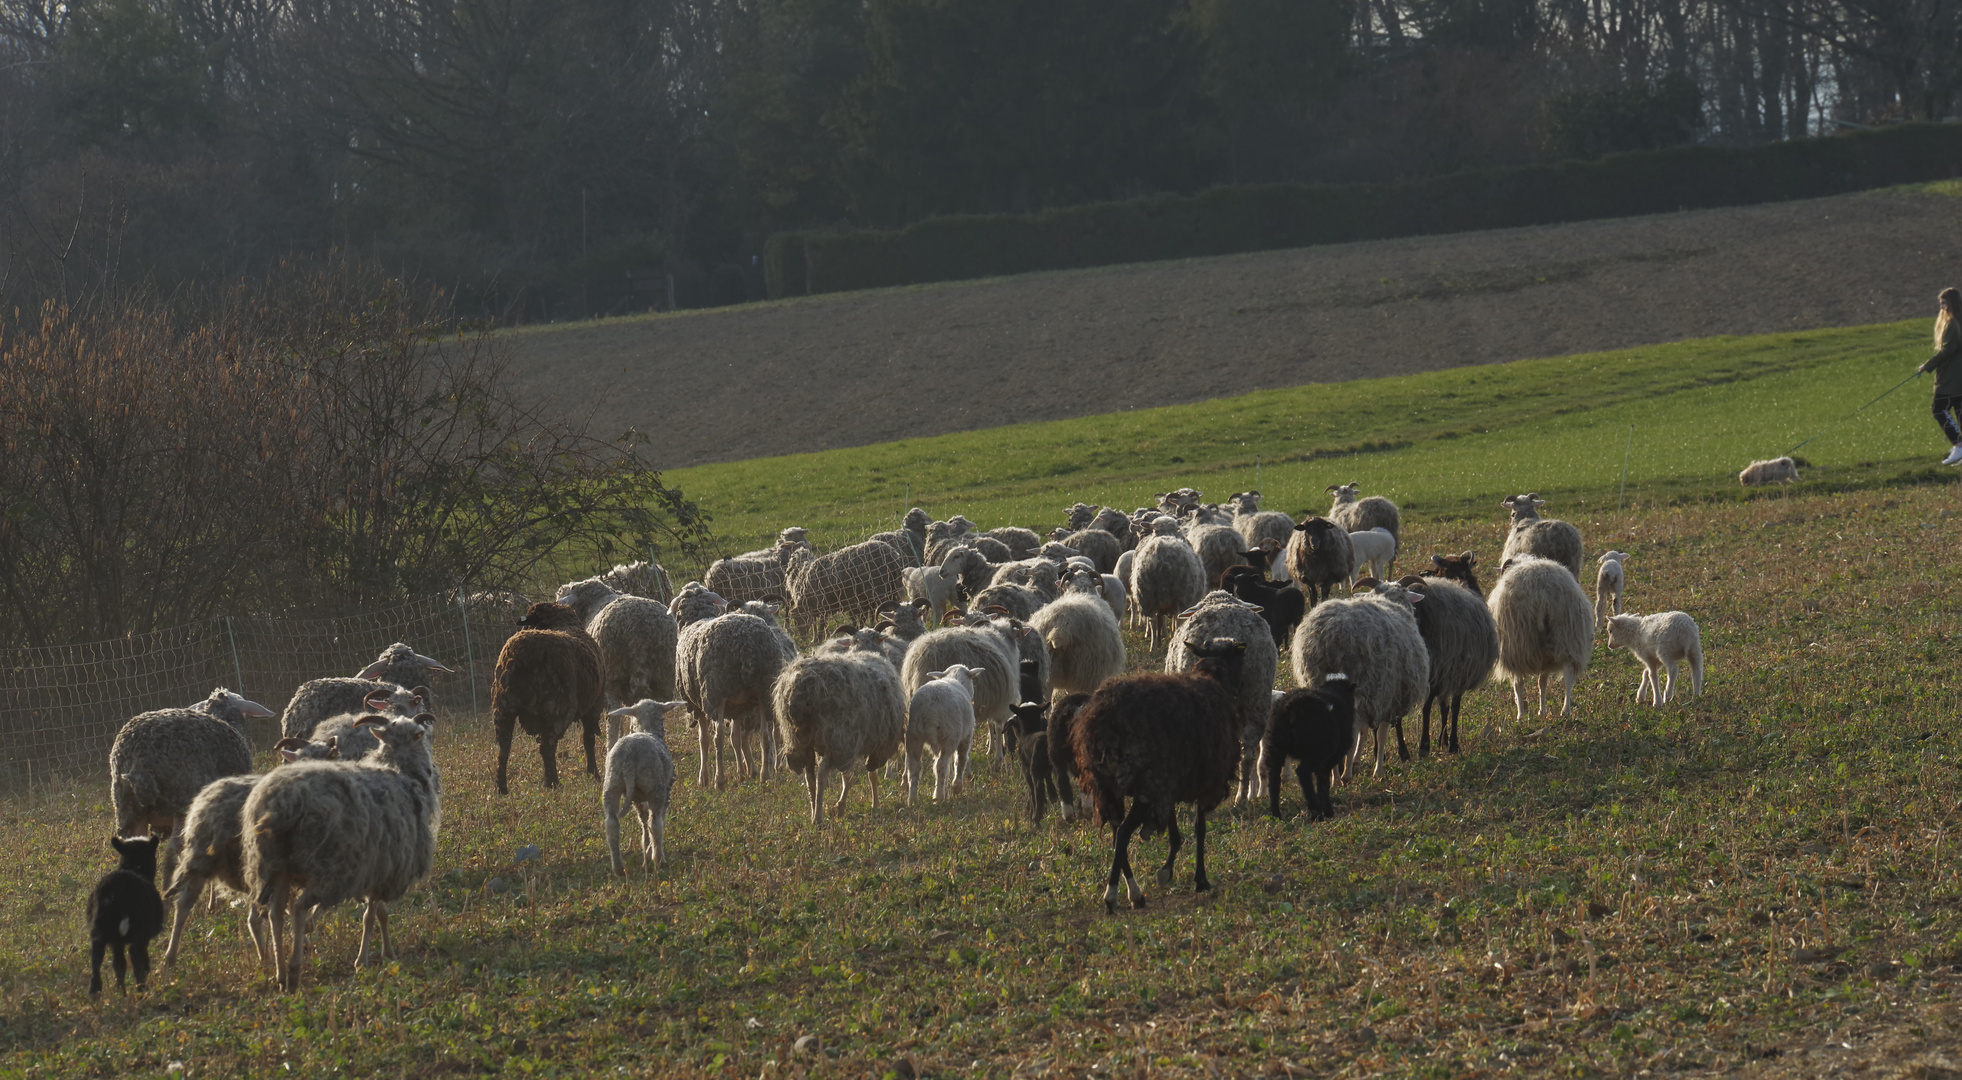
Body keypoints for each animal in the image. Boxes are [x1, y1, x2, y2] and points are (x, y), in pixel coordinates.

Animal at [494, 600, 600, 797]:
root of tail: (519, 657)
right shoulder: (594, 706)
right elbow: (588, 741)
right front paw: (593, 774)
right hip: (556, 708)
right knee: (547, 746)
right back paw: (553, 783)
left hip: (503, 707)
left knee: (503, 748)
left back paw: (501, 788)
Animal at [1067, 640, 1247, 918]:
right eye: (1239, 658)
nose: (1242, 689)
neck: (1212, 677)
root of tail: (1102, 721)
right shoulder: (1204, 781)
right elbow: (1200, 828)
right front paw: (1199, 879)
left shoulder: (1169, 783)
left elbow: (1175, 831)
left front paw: (1168, 869)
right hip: (1143, 783)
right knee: (1123, 833)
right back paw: (1113, 895)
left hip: (1107, 786)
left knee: (1117, 833)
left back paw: (1134, 893)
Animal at [1263, 683, 1357, 824]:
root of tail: (1292, 706)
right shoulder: (1330, 758)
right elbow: (1323, 782)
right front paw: (1327, 810)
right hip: (1314, 751)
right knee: (1303, 773)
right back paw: (1316, 811)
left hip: (1275, 745)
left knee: (1274, 778)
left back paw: (1276, 815)